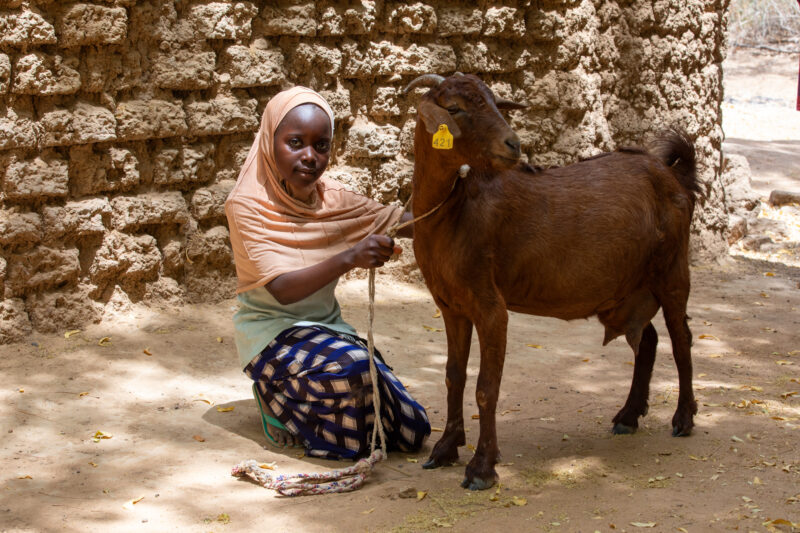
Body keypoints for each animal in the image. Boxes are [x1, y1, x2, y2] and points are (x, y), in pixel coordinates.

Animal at [403, 73, 700, 491]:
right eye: (455, 108)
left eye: (494, 103)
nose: (513, 145)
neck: (453, 211)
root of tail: (673, 174)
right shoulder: (451, 306)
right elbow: (453, 377)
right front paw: (445, 448)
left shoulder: (489, 306)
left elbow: (485, 388)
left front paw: (482, 467)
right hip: (626, 288)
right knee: (648, 340)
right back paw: (628, 416)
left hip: (672, 270)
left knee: (680, 339)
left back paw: (684, 419)